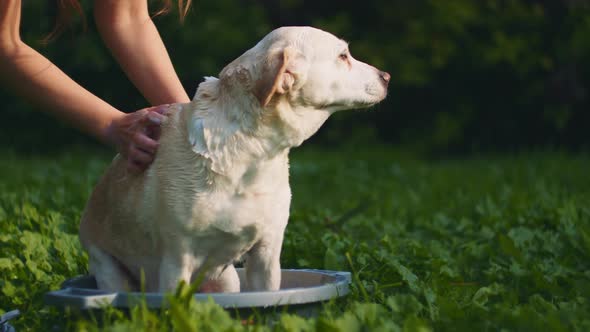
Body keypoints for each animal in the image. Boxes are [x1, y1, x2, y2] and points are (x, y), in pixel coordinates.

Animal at [80, 27, 394, 294]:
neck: (253, 158)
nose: (387, 76)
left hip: (227, 279)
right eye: (343, 56)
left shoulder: (266, 256)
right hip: (110, 271)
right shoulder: (176, 260)